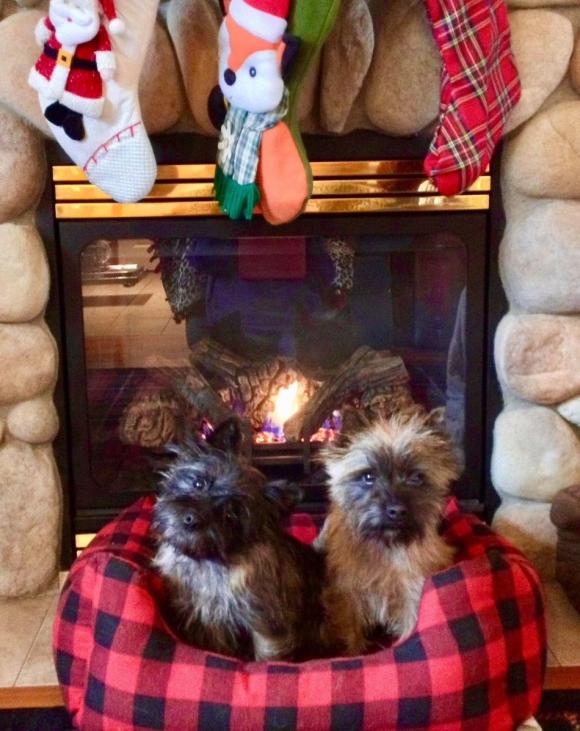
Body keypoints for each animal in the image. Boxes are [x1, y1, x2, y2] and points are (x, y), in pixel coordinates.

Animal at [152, 418, 328, 664]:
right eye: (199, 484)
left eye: (230, 515)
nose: (191, 520)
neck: (207, 562)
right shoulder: (208, 623)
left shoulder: (265, 626)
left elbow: (265, 656)